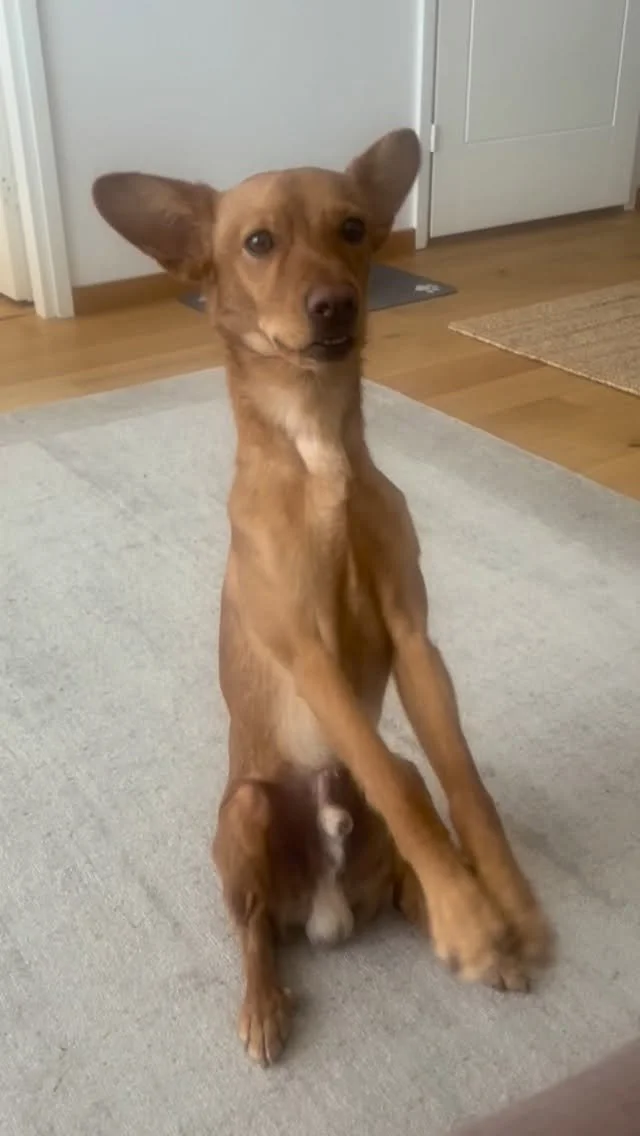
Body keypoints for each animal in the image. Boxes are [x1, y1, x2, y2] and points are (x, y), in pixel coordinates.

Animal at [93, 128, 552, 1066]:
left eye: (352, 228)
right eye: (258, 242)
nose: (336, 305)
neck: (321, 456)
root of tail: (328, 914)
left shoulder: (415, 641)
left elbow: (460, 786)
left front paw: (504, 905)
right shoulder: (308, 658)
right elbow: (394, 787)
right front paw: (473, 917)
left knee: (403, 851)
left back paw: (466, 928)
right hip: (245, 811)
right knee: (255, 933)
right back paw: (267, 1005)